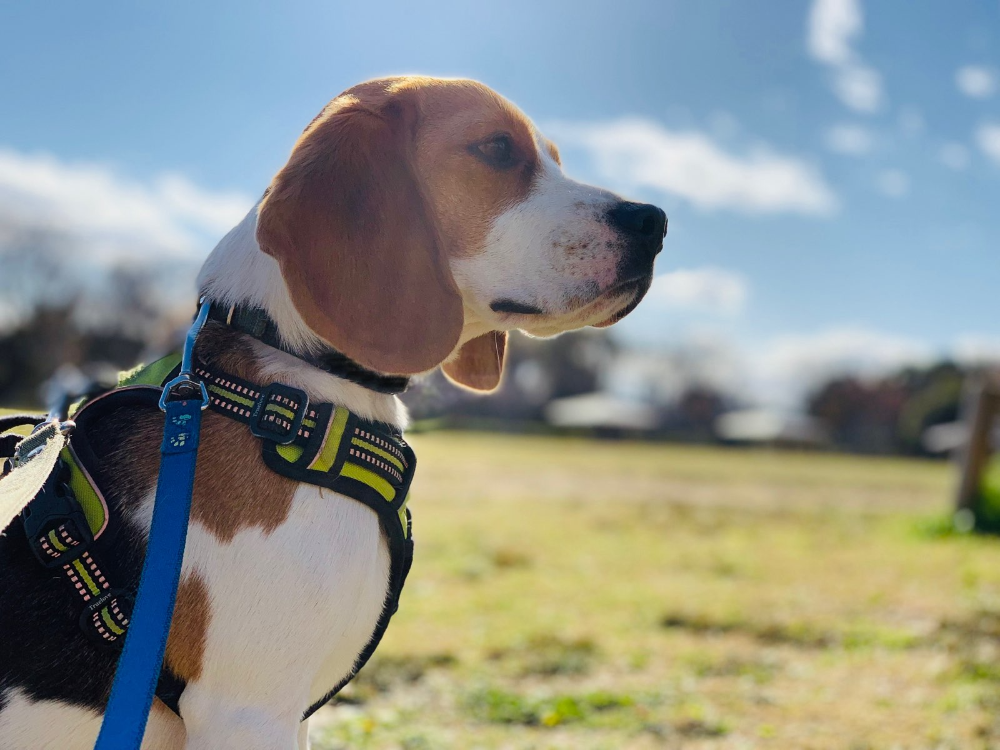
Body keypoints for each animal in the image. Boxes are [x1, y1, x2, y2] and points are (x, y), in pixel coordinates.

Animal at [3, 78, 668, 750]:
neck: (297, 386)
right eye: (497, 148)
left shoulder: (289, 717)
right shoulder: (248, 711)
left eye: (555, 158)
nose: (655, 222)